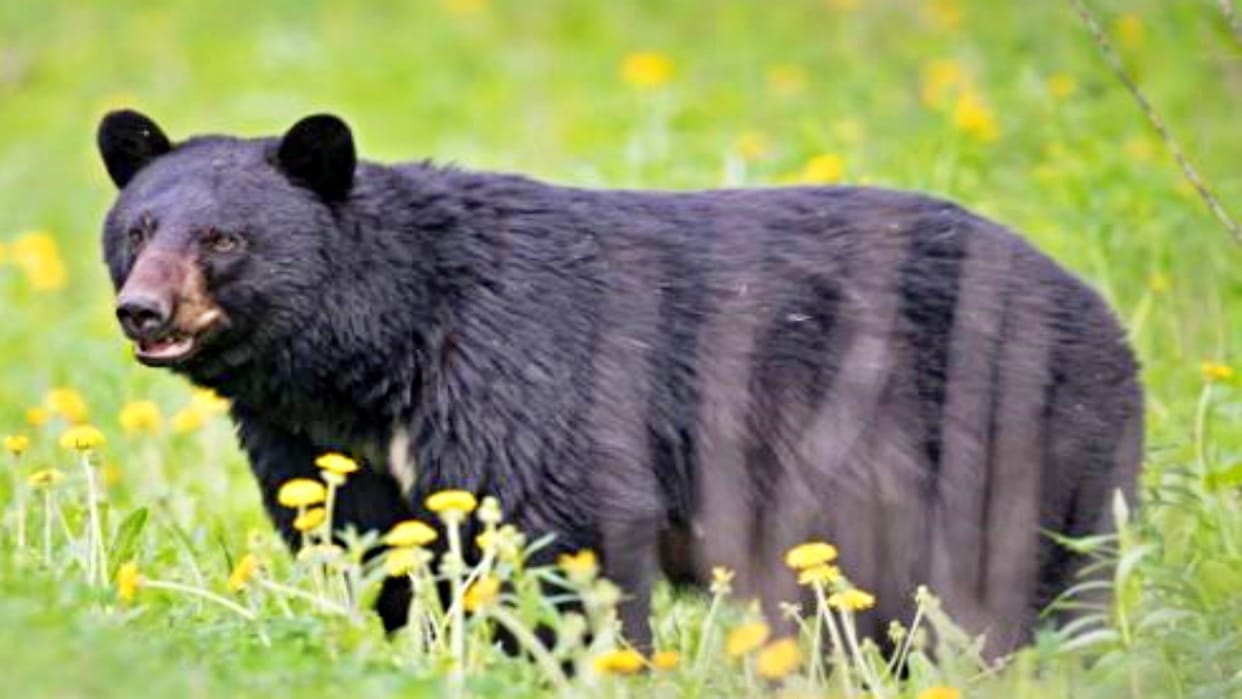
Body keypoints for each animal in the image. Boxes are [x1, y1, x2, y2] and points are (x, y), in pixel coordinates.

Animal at [96, 110, 1142, 657]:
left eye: (223, 239)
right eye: (138, 229)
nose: (143, 310)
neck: (377, 354)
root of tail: (1108, 318)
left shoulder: (520, 375)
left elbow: (567, 532)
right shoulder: (323, 447)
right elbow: (382, 550)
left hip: (1015, 433)